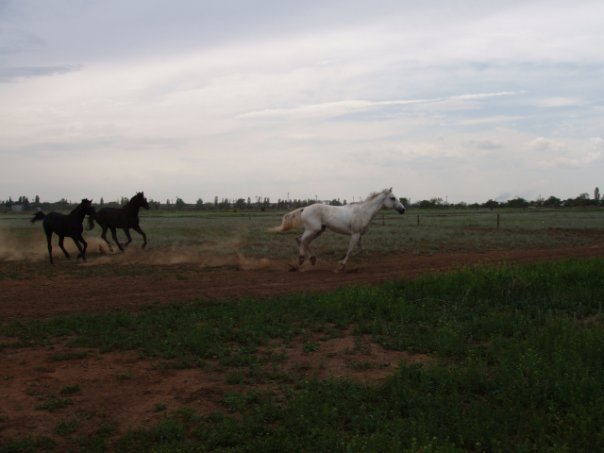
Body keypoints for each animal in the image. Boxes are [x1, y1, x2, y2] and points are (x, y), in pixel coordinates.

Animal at [270, 186, 406, 268]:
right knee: (302, 240)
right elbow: (351, 249)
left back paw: (311, 260)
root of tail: (305, 209)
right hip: (313, 230)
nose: (403, 210)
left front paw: (342, 259)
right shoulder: (355, 234)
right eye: (392, 198)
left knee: (302, 240)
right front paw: (342, 263)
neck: (363, 211)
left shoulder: (359, 235)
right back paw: (302, 259)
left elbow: (360, 249)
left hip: (318, 231)